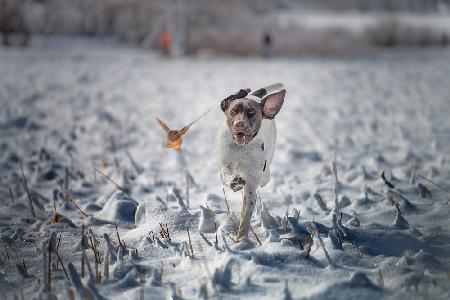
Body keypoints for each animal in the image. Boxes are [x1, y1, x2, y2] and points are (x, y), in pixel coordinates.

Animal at [217, 83, 284, 240]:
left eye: (251, 113)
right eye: (233, 112)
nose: (239, 124)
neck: (242, 148)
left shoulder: (251, 185)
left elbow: (246, 213)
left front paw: (242, 239)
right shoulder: (225, 167)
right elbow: (228, 176)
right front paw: (235, 182)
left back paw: (265, 177)